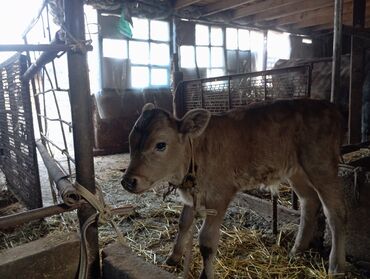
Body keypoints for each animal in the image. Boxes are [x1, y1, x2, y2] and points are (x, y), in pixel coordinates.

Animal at [121, 99, 346, 278]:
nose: (128, 181)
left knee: (335, 212)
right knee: (309, 202)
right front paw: (174, 257)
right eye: (131, 141)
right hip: (296, 171)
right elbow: (183, 223)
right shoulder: (193, 194)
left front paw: (205, 275)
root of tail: (329, 106)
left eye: (160, 145)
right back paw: (297, 250)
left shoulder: (219, 195)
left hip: (321, 164)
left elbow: (206, 240)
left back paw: (336, 265)